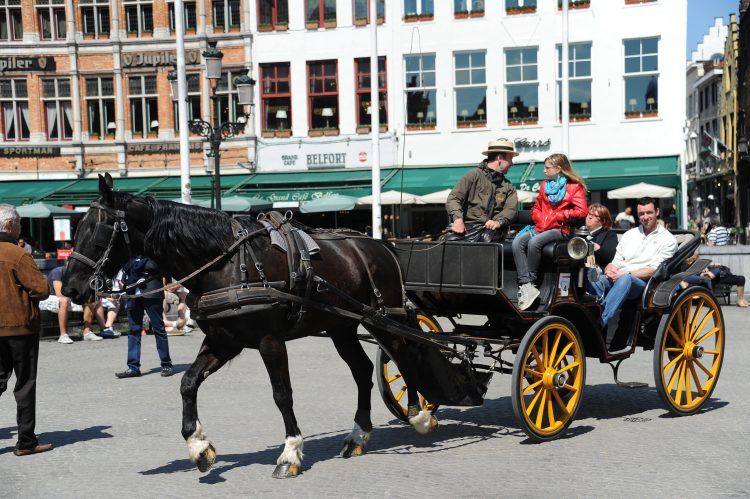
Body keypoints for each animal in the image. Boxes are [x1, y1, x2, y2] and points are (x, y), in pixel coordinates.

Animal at [64, 174, 440, 478]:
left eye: (98, 231)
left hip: (386, 318)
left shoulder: (269, 340)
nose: (71, 288)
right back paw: (358, 435)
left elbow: (282, 394)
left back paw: (418, 416)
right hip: (341, 326)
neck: (225, 264)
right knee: (362, 371)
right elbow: (187, 383)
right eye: (76, 228)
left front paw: (290, 453)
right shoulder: (224, 340)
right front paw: (198, 446)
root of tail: (379, 244)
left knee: (404, 359)